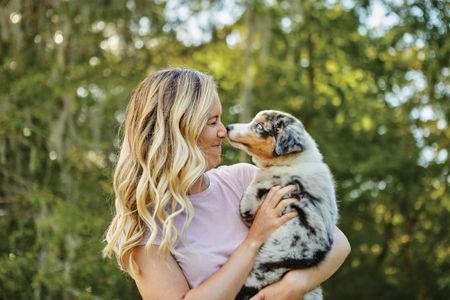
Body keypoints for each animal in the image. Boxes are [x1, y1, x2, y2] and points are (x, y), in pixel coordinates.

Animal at [229, 110, 338, 300]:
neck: (293, 161)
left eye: (258, 126)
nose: (228, 127)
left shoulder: (262, 191)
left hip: (261, 270)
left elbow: (247, 203)